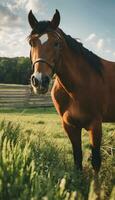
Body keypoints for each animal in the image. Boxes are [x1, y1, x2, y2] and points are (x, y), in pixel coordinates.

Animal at [27, 9, 114, 172]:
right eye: (31, 43)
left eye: (56, 43)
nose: (40, 81)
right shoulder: (70, 126)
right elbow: (77, 160)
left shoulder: (95, 125)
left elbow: (96, 162)